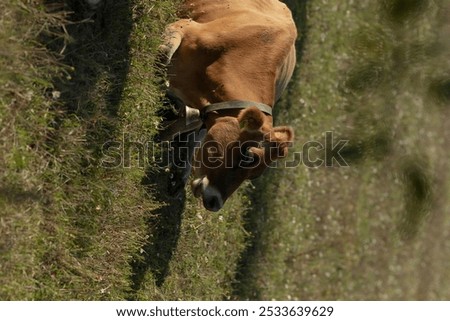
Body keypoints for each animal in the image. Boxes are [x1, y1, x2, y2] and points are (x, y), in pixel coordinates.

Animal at [160, 0, 298, 210]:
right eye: (248, 156)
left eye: (255, 174)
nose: (215, 202)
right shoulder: (184, 27)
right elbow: (164, 56)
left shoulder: (204, 110)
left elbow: (186, 123)